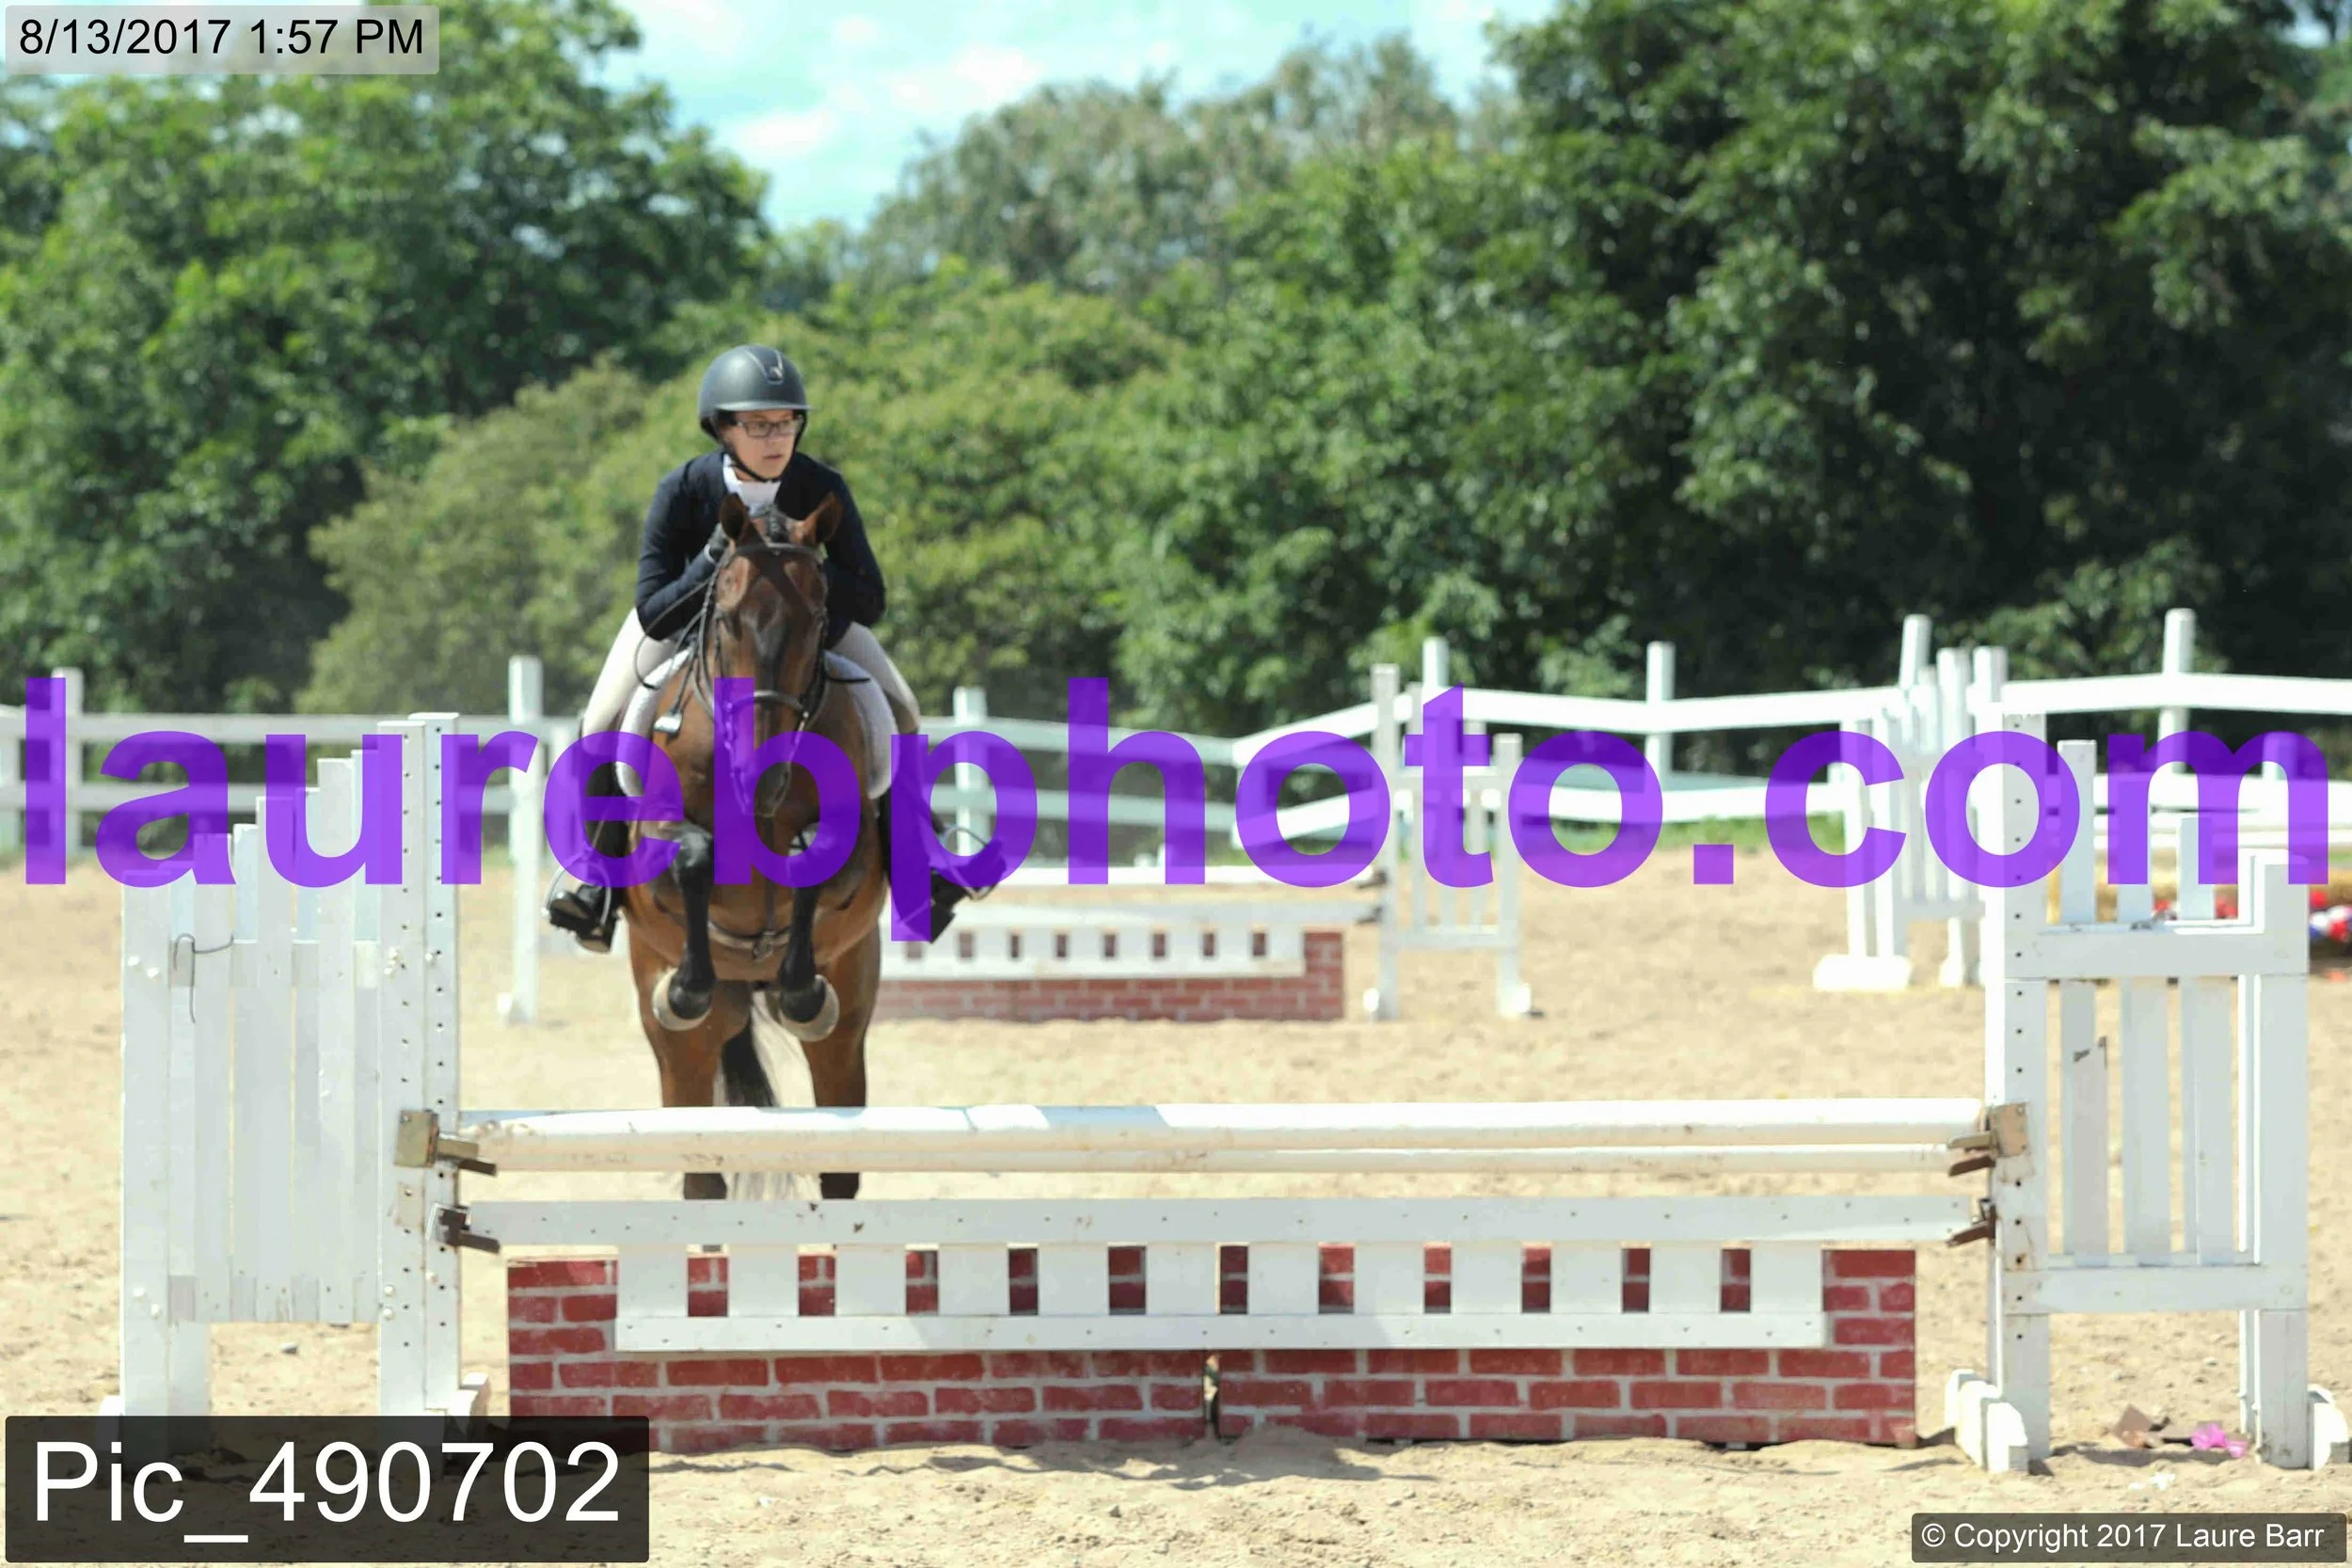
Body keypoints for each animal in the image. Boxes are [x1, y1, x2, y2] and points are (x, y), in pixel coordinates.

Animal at [618, 490, 888, 1202]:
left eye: (819, 617)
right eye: (728, 618)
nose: (762, 777)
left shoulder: (855, 849)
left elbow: (811, 861)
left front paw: (801, 994)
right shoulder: (654, 842)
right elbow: (692, 857)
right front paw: (687, 987)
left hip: (849, 1021)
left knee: (839, 1165)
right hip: (681, 1047)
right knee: (699, 1170)